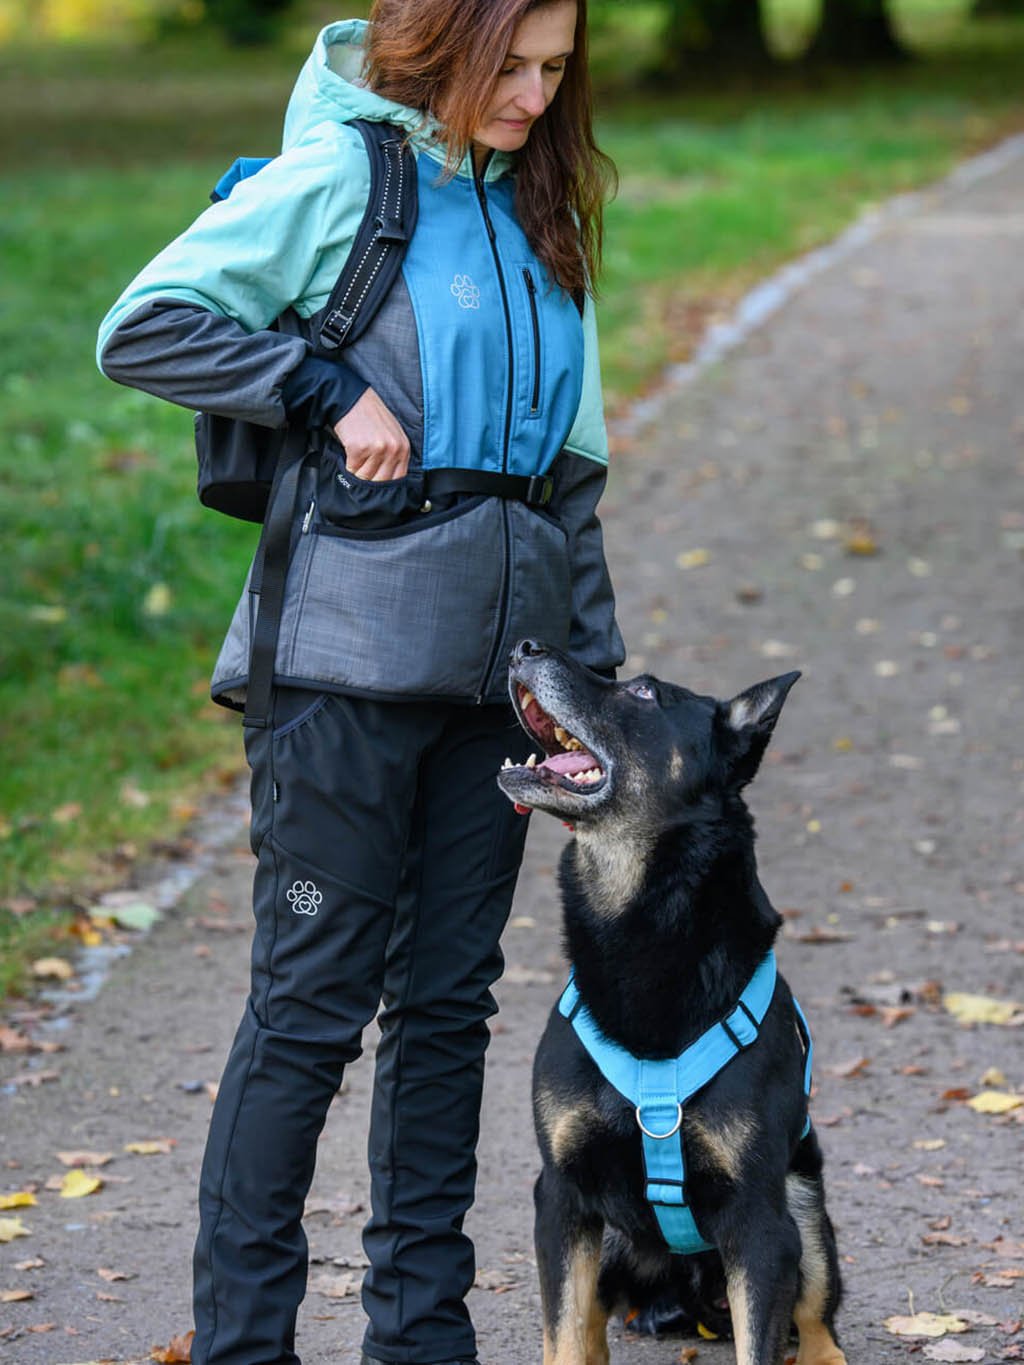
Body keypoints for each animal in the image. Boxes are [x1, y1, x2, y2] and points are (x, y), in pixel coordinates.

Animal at [499, 638, 851, 1365]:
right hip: (610, 1239)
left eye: (643, 694)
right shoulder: (562, 1197)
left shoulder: (759, 1221)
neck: (643, 932)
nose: (524, 644)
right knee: (591, 1329)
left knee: (816, 1316)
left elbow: (761, 1340)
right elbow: (564, 1334)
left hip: (804, 1207)